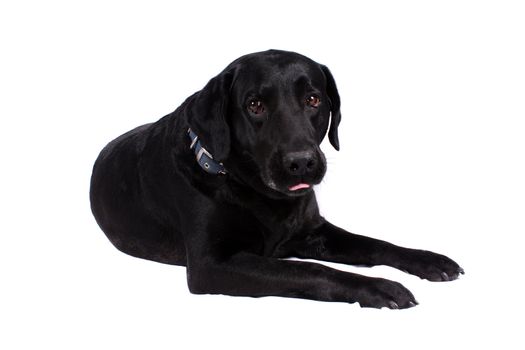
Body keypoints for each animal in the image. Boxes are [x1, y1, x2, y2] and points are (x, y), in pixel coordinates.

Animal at [90, 50, 462, 308]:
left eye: (313, 99)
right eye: (254, 105)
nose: (302, 163)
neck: (259, 196)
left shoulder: (314, 232)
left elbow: (374, 244)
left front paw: (429, 260)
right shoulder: (212, 265)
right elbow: (310, 270)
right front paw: (379, 287)